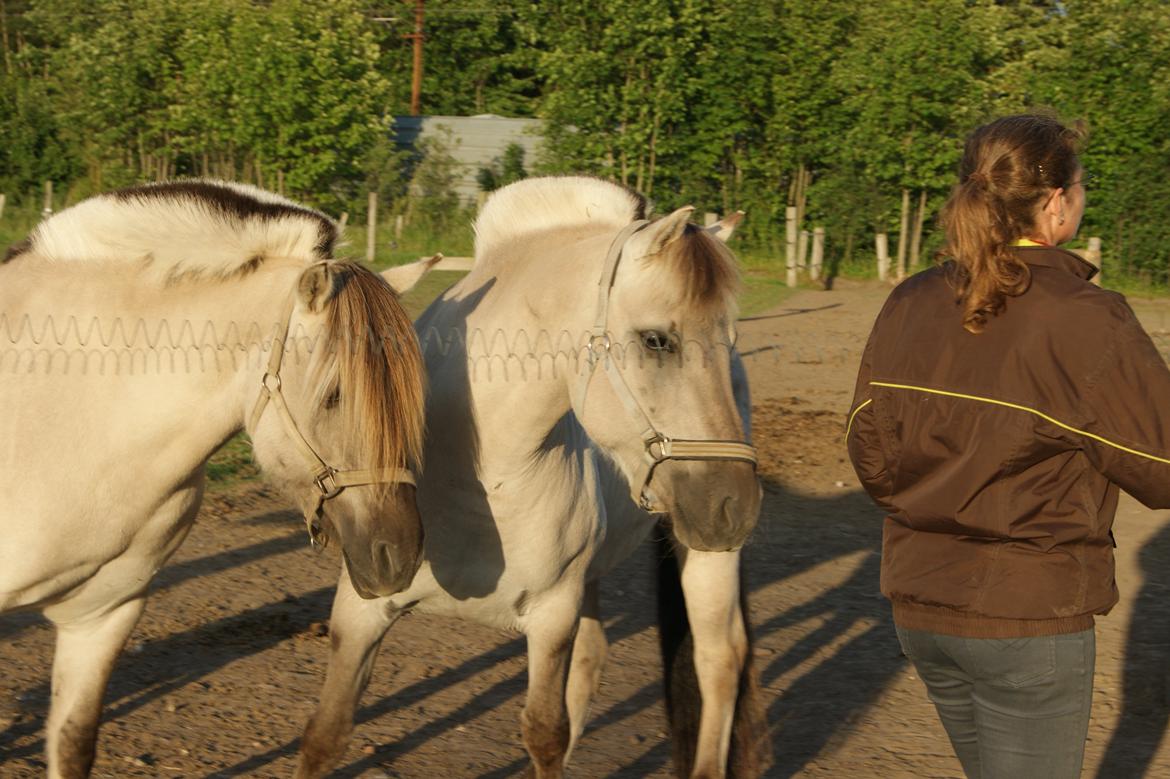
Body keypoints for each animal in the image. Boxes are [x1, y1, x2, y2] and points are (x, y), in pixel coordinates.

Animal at [297, 177, 762, 776]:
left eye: (730, 338)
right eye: (657, 340)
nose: (738, 507)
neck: (474, 483)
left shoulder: (550, 617)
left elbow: (544, 733)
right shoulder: (361, 610)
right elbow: (325, 735)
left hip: (702, 554)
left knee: (719, 660)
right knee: (595, 658)